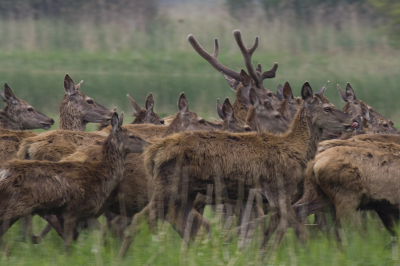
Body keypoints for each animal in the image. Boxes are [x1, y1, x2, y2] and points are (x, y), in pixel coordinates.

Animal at [0, 112, 149, 251]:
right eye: (132, 136)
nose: (149, 144)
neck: (100, 172)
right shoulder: (73, 209)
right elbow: (70, 240)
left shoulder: (85, 211)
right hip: (17, 207)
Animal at [118, 81, 360, 258]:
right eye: (327, 108)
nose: (352, 120)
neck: (297, 149)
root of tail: (153, 153)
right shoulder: (278, 190)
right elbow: (297, 229)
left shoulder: (259, 198)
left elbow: (269, 228)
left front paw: (261, 255)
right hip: (168, 186)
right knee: (140, 218)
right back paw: (124, 256)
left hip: (187, 193)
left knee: (182, 222)